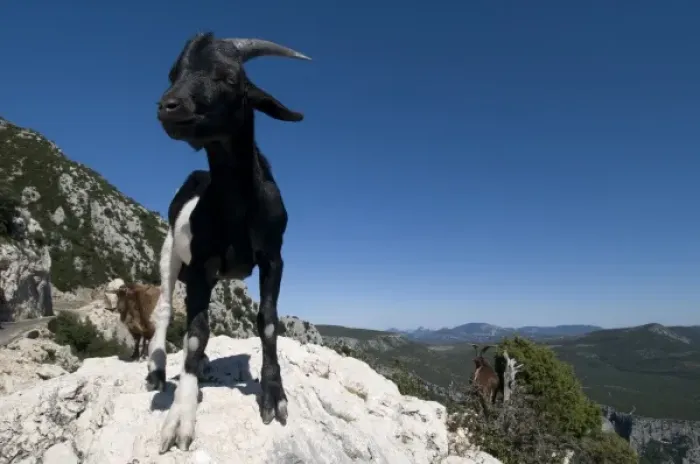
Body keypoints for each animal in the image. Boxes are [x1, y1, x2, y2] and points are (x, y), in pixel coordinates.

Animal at [146, 32, 310, 453]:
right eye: (174, 73)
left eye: (229, 77)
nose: (168, 106)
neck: (238, 207)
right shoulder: (201, 264)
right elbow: (194, 332)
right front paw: (181, 414)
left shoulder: (273, 257)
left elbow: (267, 322)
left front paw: (273, 394)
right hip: (169, 253)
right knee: (165, 309)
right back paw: (156, 370)